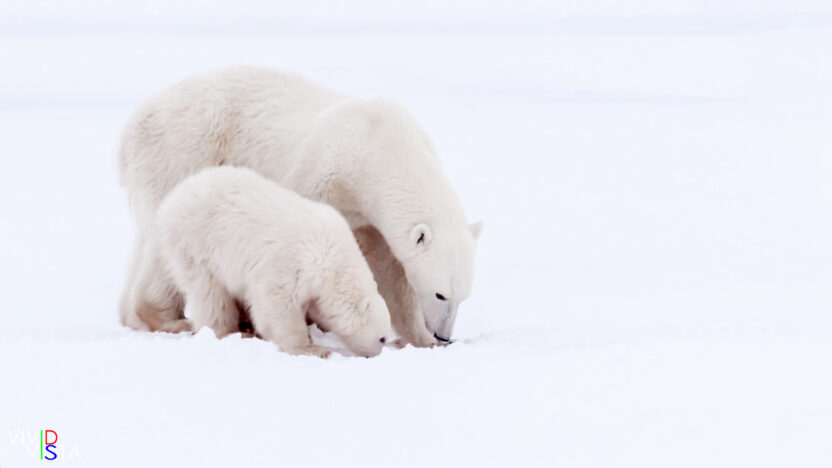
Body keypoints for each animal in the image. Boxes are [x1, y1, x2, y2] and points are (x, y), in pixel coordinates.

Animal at [131, 166, 393, 358]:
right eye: (381, 338)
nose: (377, 354)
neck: (331, 255)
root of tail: (172, 199)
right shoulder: (289, 262)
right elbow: (276, 303)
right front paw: (312, 348)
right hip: (196, 244)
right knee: (210, 293)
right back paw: (228, 331)